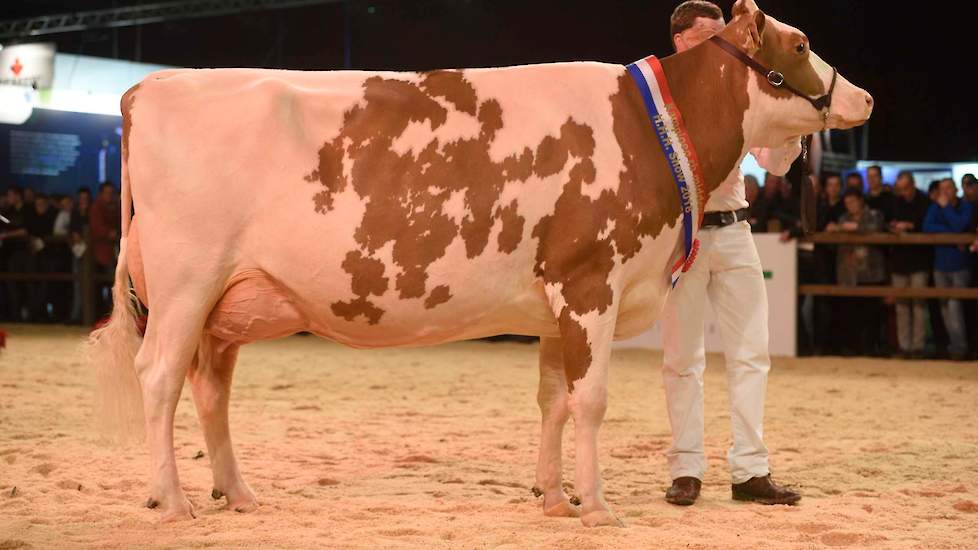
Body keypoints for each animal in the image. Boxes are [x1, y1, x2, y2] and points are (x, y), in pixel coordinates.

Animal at [89, 0, 868, 532]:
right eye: (800, 42)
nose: (863, 97)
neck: (655, 127)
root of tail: (149, 88)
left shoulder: (557, 301)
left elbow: (554, 401)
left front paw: (554, 497)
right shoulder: (591, 282)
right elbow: (591, 401)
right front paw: (598, 507)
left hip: (228, 301)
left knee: (211, 390)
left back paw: (239, 493)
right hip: (187, 282)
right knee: (160, 377)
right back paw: (172, 501)